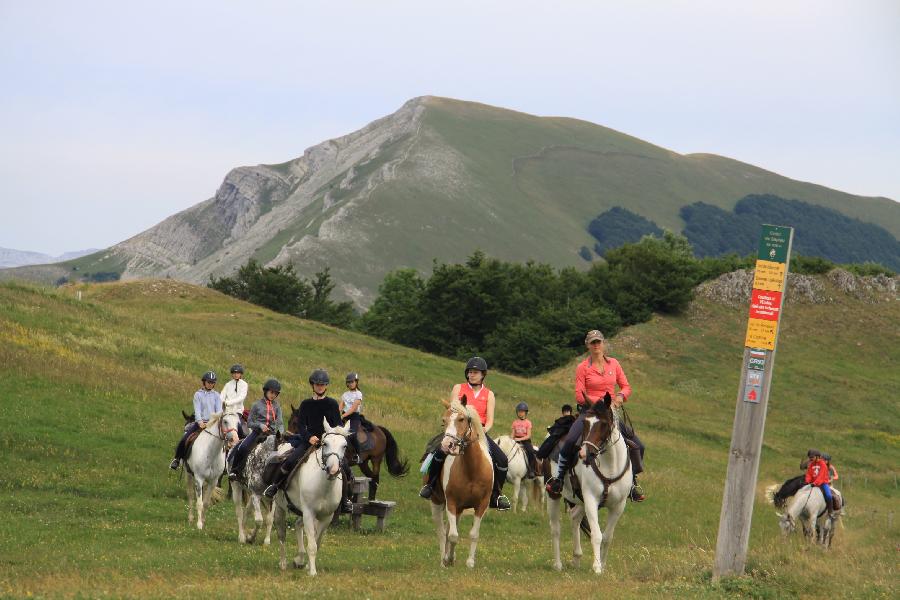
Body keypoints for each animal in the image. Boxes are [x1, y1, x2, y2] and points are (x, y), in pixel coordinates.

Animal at [272, 418, 350, 576]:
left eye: (344, 446)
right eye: (325, 443)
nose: (333, 470)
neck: (323, 485)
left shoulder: (326, 517)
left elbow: (317, 542)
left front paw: (308, 565)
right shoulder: (309, 513)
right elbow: (312, 544)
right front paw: (313, 572)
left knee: (298, 525)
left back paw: (299, 559)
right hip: (280, 508)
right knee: (282, 534)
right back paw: (283, 563)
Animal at [428, 398, 492, 568]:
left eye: (462, 419)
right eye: (444, 420)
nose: (447, 445)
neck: (472, 469)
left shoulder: (482, 504)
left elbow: (474, 534)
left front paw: (470, 562)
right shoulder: (451, 501)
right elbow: (453, 535)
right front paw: (448, 559)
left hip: (460, 508)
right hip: (437, 501)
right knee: (442, 531)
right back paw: (444, 560)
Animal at [544, 392, 628, 576]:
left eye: (604, 424)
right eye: (585, 423)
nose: (584, 453)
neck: (610, 465)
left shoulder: (618, 506)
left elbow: (607, 537)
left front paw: (603, 565)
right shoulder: (591, 499)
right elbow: (596, 534)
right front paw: (596, 567)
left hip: (580, 500)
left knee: (575, 517)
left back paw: (576, 558)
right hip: (554, 494)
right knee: (555, 528)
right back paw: (558, 564)